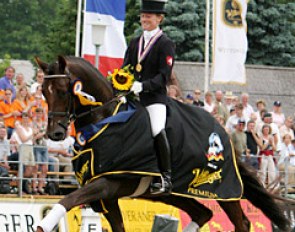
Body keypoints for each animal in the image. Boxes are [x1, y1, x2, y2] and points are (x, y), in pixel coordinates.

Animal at [35, 55, 292, 232]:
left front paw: (43, 224)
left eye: (62, 90)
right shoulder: (107, 198)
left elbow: (67, 200)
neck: (103, 119)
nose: (55, 133)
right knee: (203, 214)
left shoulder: (108, 183)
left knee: (242, 222)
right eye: (43, 92)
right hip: (174, 194)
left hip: (223, 191)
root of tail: (223, 132)